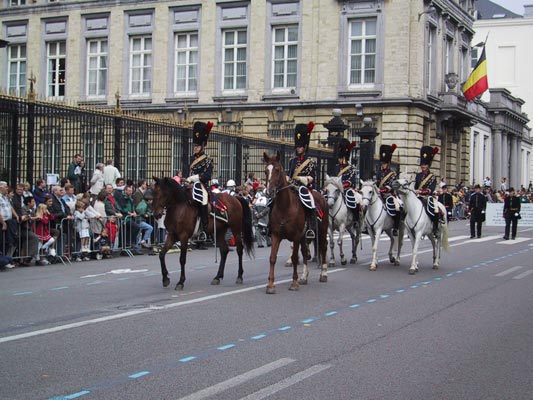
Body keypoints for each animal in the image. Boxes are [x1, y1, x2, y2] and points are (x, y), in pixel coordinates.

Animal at [262, 151, 328, 294]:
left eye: (277, 169)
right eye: (265, 171)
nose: (270, 191)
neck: (285, 207)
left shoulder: (296, 236)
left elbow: (294, 258)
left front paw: (294, 283)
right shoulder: (276, 235)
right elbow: (272, 258)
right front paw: (270, 285)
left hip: (322, 230)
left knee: (323, 247)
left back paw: (324, 274)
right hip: (304, 236)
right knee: (305, 252)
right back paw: (304, 277)